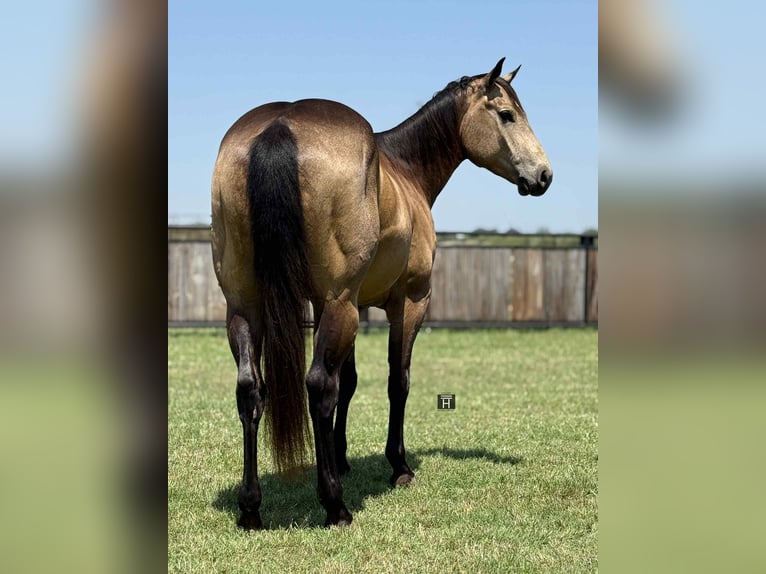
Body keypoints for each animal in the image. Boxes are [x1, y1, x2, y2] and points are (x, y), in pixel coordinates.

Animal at [211, 58, 552, 529]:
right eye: (507, 115)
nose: (544, 175)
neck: (405, 169)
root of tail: (280, 125)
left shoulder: (340, 304)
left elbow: (350, 382)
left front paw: (340, 457)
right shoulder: (406, 302)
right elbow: (397, 381)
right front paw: (398, 465)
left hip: (249, 307)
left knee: (251, 390)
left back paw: (251, 508)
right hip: (339, 307)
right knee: (318, 386)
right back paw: (335, 505)